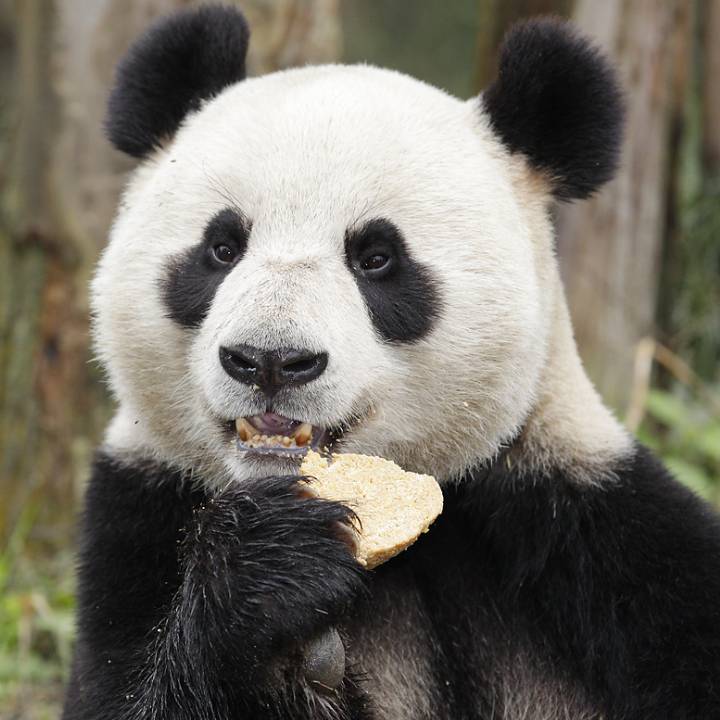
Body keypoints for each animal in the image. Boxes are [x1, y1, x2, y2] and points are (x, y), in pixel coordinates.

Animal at [62, 6, 720, 720]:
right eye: (221, 248)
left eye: (376, 258)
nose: (269, 361)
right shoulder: (138, 517)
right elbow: (127, 693)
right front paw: (270, 569)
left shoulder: (595, 531)